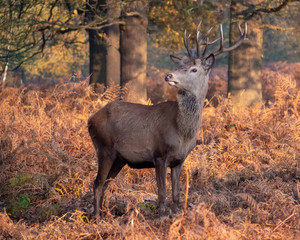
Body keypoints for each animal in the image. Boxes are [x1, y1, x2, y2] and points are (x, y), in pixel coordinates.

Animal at [88, 20, 247, 217]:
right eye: (180, 66)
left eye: (194, 69)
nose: (168, 75)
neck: (183, 132)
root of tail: (90, 120)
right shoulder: (159, 154)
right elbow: (161, 193)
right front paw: (162, 214)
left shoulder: (179, 160)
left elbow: (176, 194)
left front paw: (178, 213)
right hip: (104, 148)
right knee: (97, 183)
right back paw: (96, 216)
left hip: (119, 158)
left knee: (105, 183)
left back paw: (104, 214)